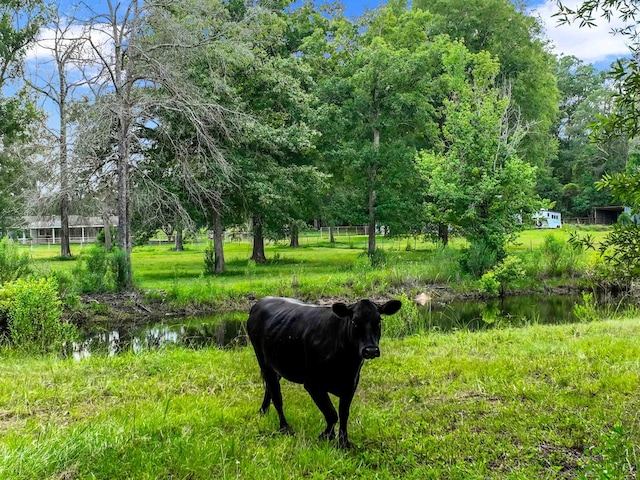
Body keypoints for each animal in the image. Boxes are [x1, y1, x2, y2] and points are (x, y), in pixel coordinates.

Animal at [246, 294, 400, 448]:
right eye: (355, 322)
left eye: (378, 321)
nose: (371, 350)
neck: (346, 363)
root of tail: (261, 302)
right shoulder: (313, 384)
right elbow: (332, 414)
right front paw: (326, 436)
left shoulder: (351, 384)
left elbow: (343, 414)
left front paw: (344, 443)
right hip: (263, 359)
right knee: (276, 396)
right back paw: (285, 428)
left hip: (276, 364)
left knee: (269, 389)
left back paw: (263, 412)